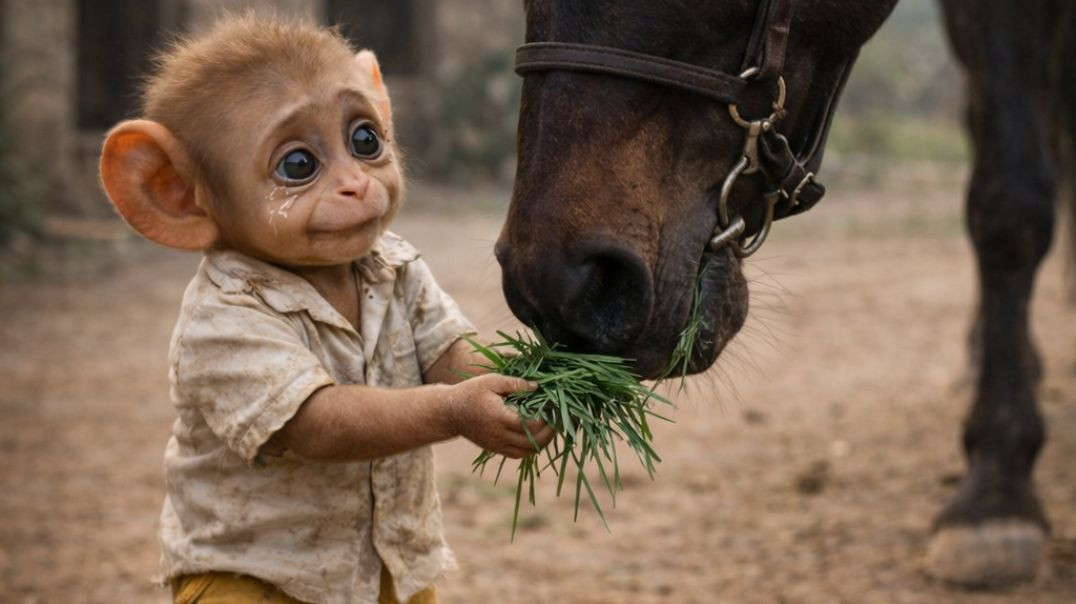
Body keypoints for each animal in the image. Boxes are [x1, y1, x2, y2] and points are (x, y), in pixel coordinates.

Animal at [98, 14, 553, 604]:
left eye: (365, 139)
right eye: (298, 164)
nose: (356, 187)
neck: (325, 277)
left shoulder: (412, 276)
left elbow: (448, 354)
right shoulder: (226, 328)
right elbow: (323, 417)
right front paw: (483, 406)